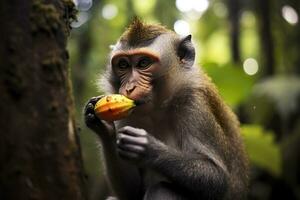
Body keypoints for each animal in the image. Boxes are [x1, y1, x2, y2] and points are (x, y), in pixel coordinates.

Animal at [84, 19, 248, 200]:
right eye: (123, 65)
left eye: (143, 63)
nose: (129, 88)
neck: (157, 110)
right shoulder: (125, 117)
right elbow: (131, 192)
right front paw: (104, 128)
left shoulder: (194, 103)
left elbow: (218, 178)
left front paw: (149, 149)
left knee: (162, 189)